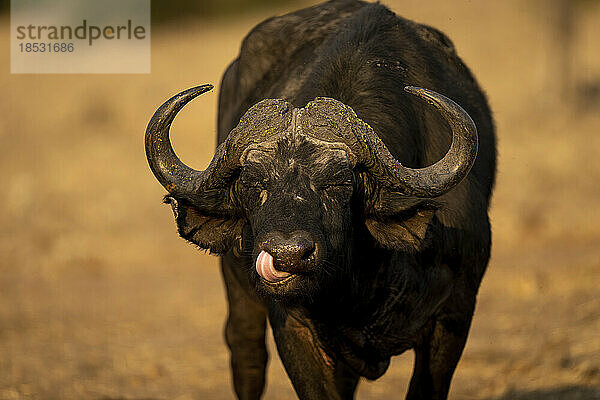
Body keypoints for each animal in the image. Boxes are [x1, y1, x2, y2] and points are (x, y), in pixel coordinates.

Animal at [145, 1, 496, 398]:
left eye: (338, 182)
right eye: (252, 182)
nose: (288, 255)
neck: (363, 278)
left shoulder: (453, 317)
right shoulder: (292, 326)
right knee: (246, 355)